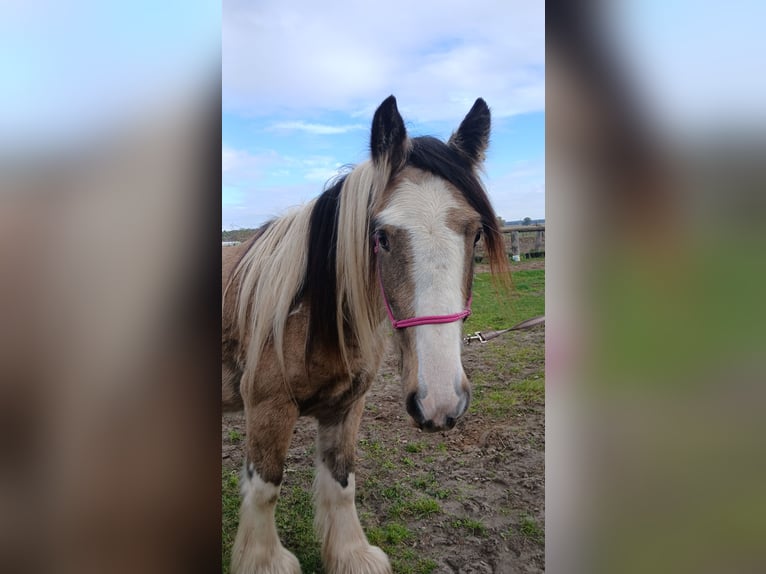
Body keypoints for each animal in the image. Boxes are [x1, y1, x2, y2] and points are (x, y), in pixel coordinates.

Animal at [222, 95, 509, 574]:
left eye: (475, 236)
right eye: (382, 237)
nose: (440, 403)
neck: (309, 315)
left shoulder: (347, 406)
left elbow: (342, 482)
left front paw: (351, 554)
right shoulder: (267, 407)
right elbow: (265, 488)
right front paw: (265, 561)